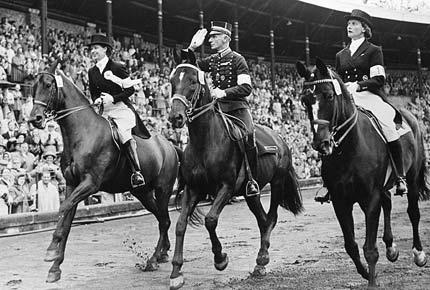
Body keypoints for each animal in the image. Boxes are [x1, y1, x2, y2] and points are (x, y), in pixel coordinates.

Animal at [29, 62, 181, 284]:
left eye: (48, 85)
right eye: (33, 86)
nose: (35, 118)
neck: (83, 133)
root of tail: (170, 145)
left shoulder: (90, 184)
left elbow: (63, 208)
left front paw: (51, 250)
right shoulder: (72, 185)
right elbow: (66, 221)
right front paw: (55, 267)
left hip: (163, 189)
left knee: (165, 220)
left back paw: (153, 259)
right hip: (142, 192)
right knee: (162, 219)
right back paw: (161, 253)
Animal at [166, 57, 304, 290]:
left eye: (193, 81)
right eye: (172, 81)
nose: (175, 117)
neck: (205, 141)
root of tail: (280, 139)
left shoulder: (226, 188)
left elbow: (210, 220)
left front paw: (220, 258)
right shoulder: (193, 189)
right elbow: (180, 224)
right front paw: (176, 271)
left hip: (276, 184)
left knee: (271, 218)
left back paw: (262, 258)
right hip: (251, 194)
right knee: (263, 220)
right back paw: (260, 262)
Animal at [296, 58, 430, 288]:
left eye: (328, 95)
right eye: (305, 101)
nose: (321, 143)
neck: (348, 149)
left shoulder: (370, 197)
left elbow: (370, 248)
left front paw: (372, 281)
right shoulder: (341, 201)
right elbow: (351, 245)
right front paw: (368, 273)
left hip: (411, 179)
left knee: (413, 212)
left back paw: (418, 254)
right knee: (388, 203)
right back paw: (391, 248)